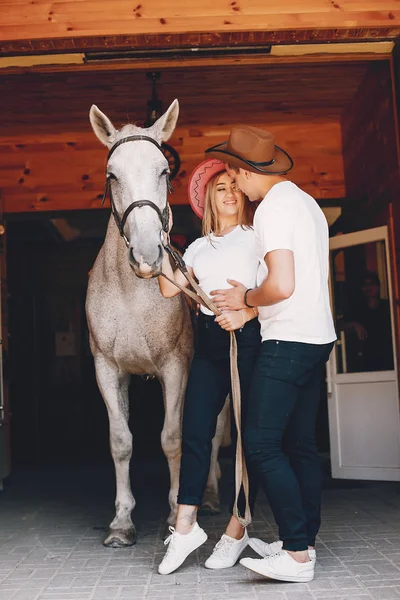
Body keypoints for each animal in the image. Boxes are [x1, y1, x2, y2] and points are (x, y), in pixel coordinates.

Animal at [86, 101, 227, 548]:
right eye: (112, 175)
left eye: (164, 171)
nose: (148, 254)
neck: (133, 292)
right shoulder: (108, 369)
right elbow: (120, 441)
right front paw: (121, 521)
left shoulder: (175, 368)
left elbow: (172, 438)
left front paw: (174, 512)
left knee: (214, 432)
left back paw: (211, 496)